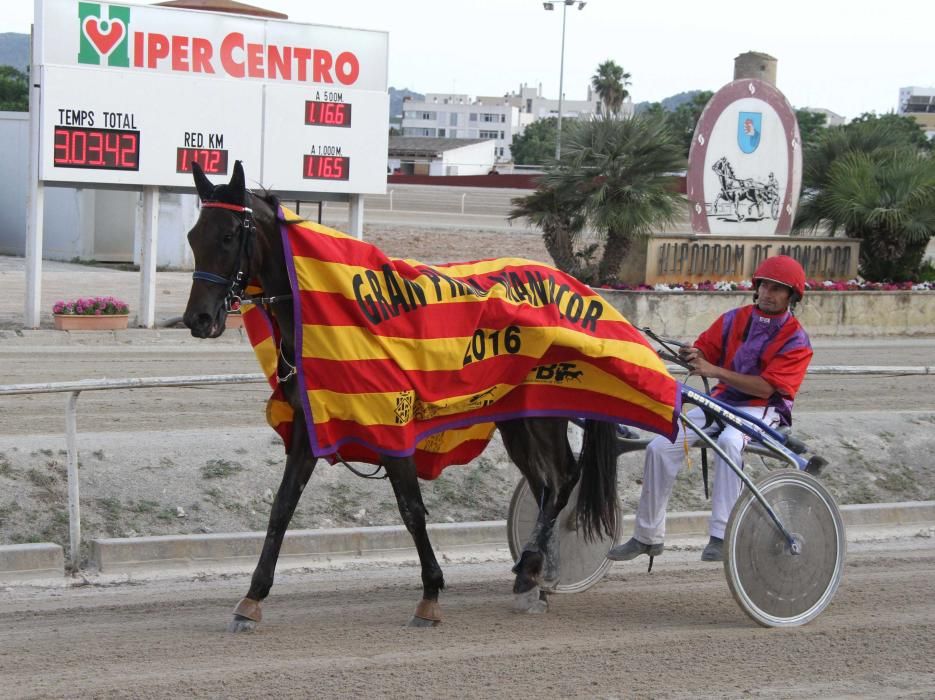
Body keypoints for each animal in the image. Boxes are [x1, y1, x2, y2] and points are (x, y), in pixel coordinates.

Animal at [183, 161, 628, 632]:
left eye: (228, 236)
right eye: (194, 236)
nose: (198, 319)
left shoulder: (391, 423)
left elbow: (411, 509)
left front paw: (430, 594)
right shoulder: (310, 424)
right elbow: (282, 507)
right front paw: (251, 598)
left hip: (541, 414)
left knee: (562, 479)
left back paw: (534, 571)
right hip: (515, 421)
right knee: (546, 485)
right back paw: (531, 572)